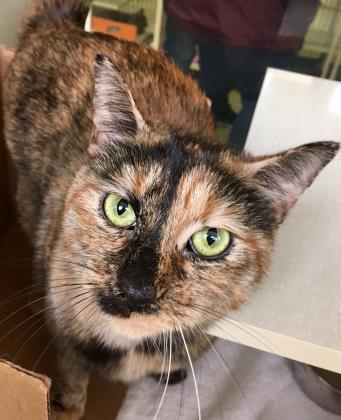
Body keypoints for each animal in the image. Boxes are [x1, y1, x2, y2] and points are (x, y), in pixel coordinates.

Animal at [2, 0, 338, 420]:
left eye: (212, 240)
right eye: (120, 209)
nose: (136, 290)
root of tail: (71, 26)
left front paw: (171, 371)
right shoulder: (68, 332)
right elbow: (72, 374)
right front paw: (65, 405)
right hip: (30, 191)